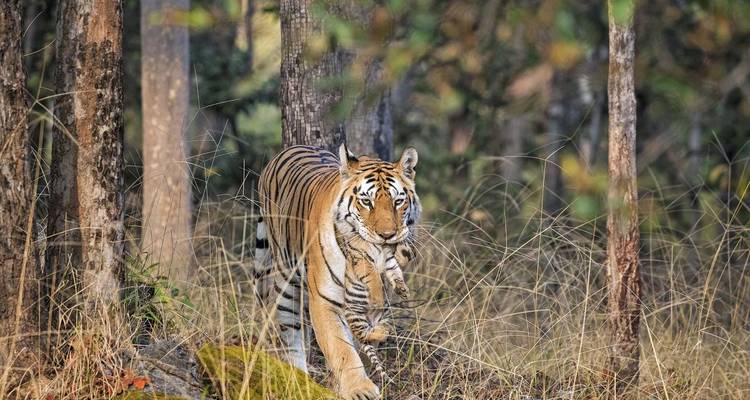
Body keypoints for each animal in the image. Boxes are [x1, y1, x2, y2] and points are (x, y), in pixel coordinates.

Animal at [253, 144, 420, 399]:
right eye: (366, 201)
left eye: (398, 201)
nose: (387, 235)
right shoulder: (325, 300)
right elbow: (341, 347)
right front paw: (359, 388)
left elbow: (364, 340)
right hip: (285, 282)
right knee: (291, 334)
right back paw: (300, 379)